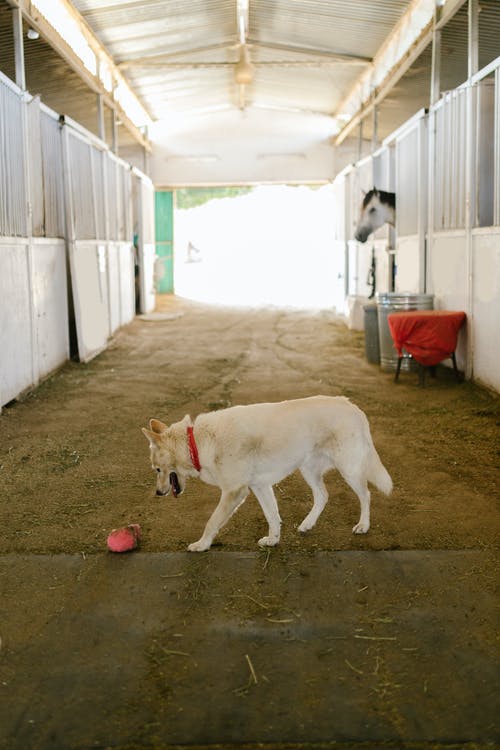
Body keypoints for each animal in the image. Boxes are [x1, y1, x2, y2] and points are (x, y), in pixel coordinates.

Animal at [143, 400, 392, 552]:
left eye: (157, 469)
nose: (157, 492)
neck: (195, 442)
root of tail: (354, 407)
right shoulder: (259, 487)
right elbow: (272, 515)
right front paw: (273, 539)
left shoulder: (234, 491)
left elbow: (212, 521)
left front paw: (202, 545)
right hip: (308, 469)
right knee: (323, 496)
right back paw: (307, 524)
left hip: (349, 468)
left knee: (366, 495)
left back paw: (363, 525)